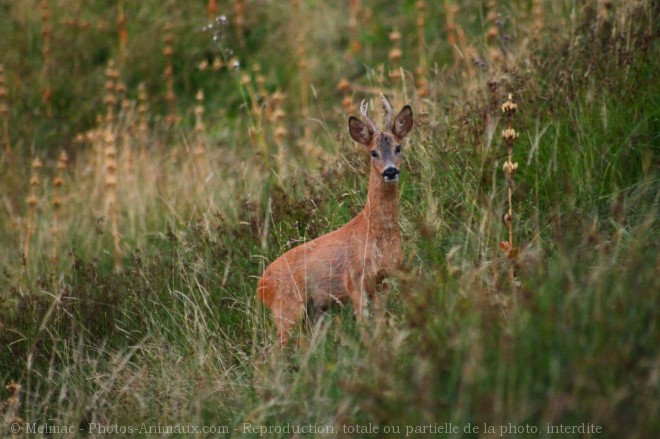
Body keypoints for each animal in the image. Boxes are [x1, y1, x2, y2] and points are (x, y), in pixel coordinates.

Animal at [258, 96, 412, 348]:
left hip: (312, 311)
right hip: (286, 308)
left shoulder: (385, 278)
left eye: (398, 148)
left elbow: (380, 324)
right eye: (373, 152)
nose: (390, 171)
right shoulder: (354, 280)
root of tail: (260, 286)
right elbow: (364, 326)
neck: (374, 232)